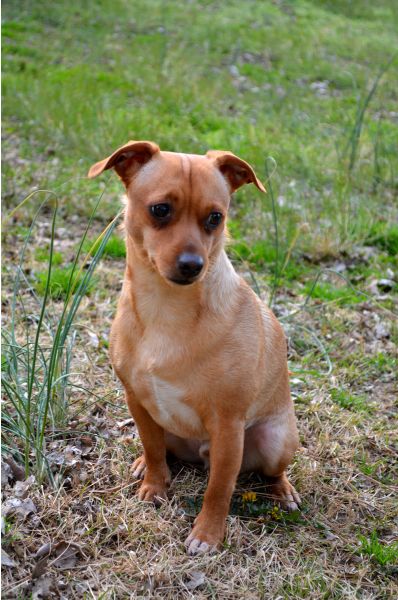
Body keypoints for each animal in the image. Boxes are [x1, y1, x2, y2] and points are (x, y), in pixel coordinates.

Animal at [87, 143, 298, 556]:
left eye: (215, 218)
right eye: (160, 210)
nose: (192, 264)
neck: (166, 306)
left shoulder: (228, 426)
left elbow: (219, 489)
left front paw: (208, 533)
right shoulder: (138, 402)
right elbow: (154, 450)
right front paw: (154, 485)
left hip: (274, 441)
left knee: (270, 471)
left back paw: (283, 491)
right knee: (160, 449)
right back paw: (144, 465)